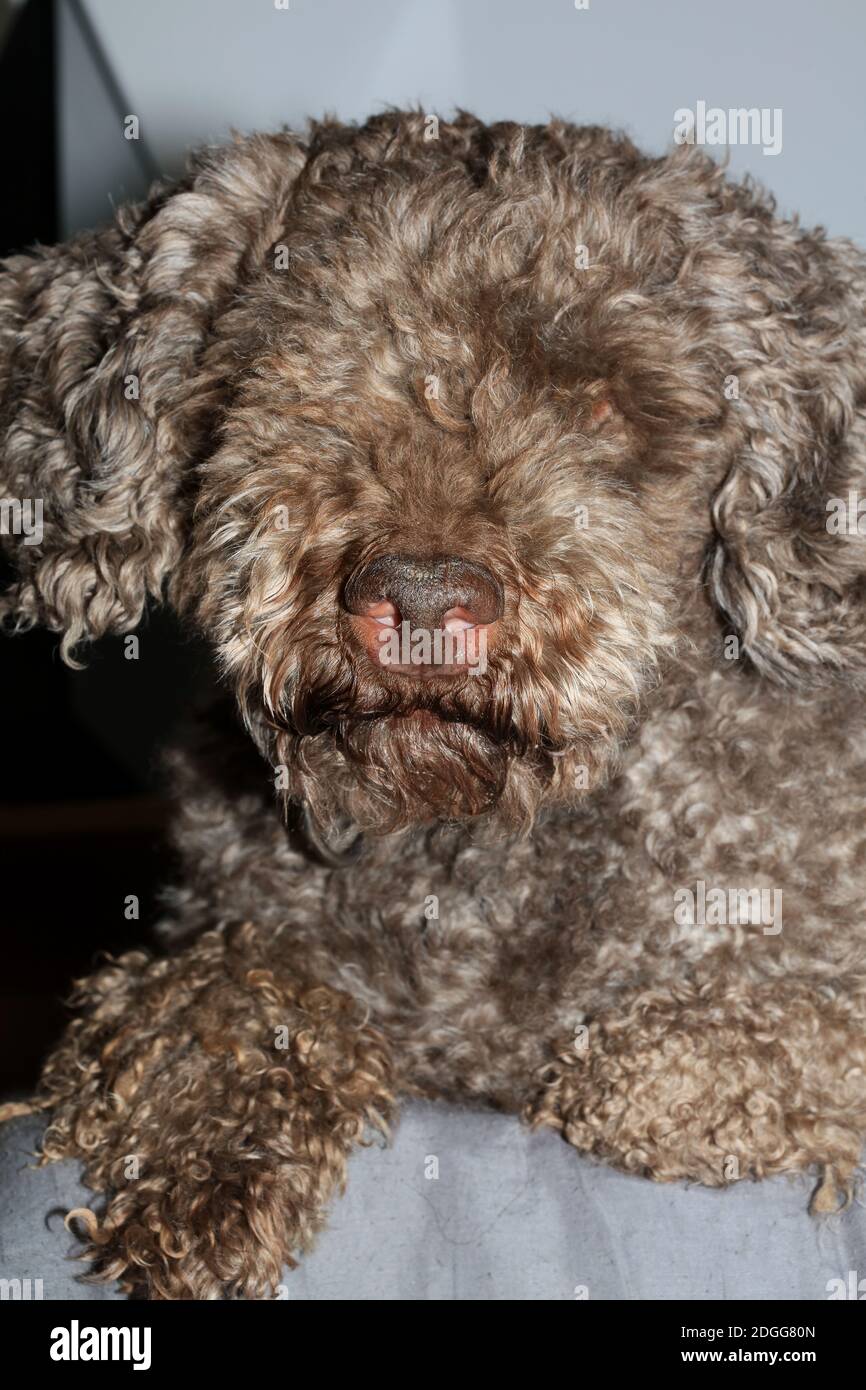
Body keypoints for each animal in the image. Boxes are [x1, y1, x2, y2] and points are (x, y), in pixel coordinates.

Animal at [1, 111, 866, 1301]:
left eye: (600, 397)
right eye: (282, 371)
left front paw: (661, 1072)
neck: (476, 858)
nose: (417, 597)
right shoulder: (246, 922)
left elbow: (798, 1028)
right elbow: (220, 988)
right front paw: (198, 1158)